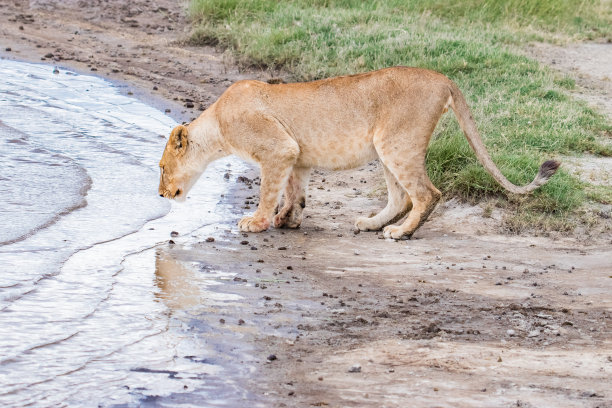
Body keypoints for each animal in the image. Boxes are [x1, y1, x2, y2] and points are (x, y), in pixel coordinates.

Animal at [159, 66, 560, 239]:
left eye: (161, 167)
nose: (161, 194)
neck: (217, 122)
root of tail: (443, 78)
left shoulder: (277, 149)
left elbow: (268, 191)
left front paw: (256, 222)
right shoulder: (296, 156)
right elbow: (294, 193)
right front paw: (287, 220)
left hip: (397, 143)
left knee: (426, 194)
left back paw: (400, 233)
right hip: (387, 149)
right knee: (401, 196)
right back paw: (372, 224)